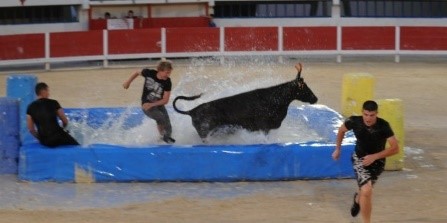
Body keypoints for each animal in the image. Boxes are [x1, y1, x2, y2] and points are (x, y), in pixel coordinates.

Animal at [172, 64, 318, 140]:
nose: (315, 98)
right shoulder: (264, 127)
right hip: (205, 133)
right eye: (304, 87)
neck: (276, 98)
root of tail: (192, 111)